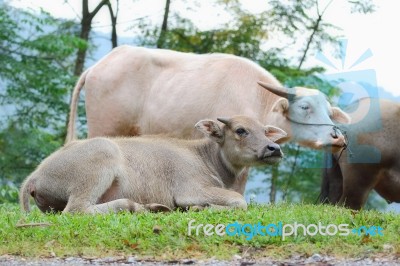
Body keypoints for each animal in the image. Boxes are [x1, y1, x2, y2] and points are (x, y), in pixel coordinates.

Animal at [19, 116, 288, 214]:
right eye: (241, 130)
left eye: (266, 131)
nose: (274, 149)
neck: (205, 157)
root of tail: (35, 176)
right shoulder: (191, 190)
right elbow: (239, 201)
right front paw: (199, 208)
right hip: (99, 162)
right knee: (76, 210)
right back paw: (135, 206)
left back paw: (153, 207)